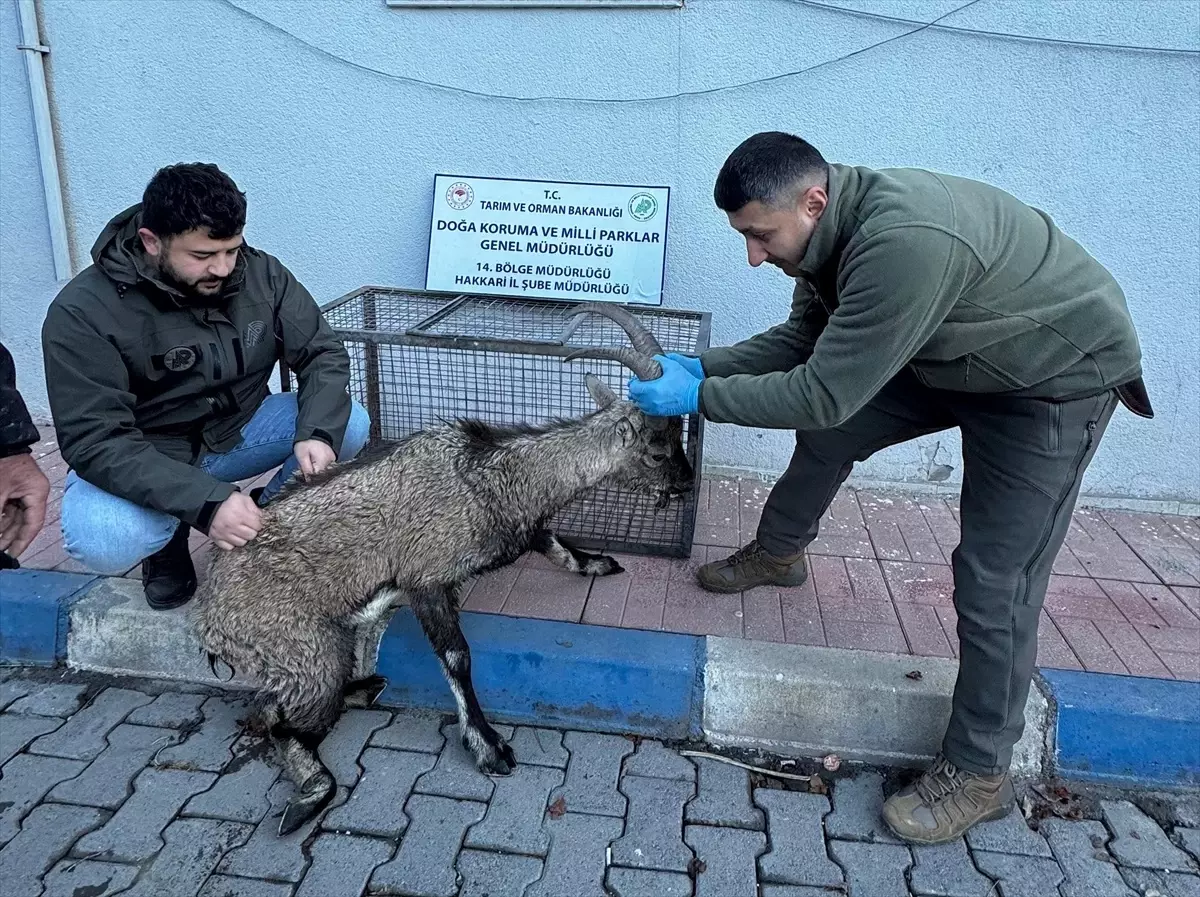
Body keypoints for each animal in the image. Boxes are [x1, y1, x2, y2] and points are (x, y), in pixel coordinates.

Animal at [189, 300, 696, 834]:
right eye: (657, 450)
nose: (688, 482)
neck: (490, 473)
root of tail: (208, 617)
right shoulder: (426, 579)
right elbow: (457, 657)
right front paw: (488, 746)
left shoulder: (519, 528)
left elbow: (552, 540)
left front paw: (596, 561)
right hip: (307, 653)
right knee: (281, 723)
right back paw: (312, 792)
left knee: (274, 708)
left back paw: (367, 688)